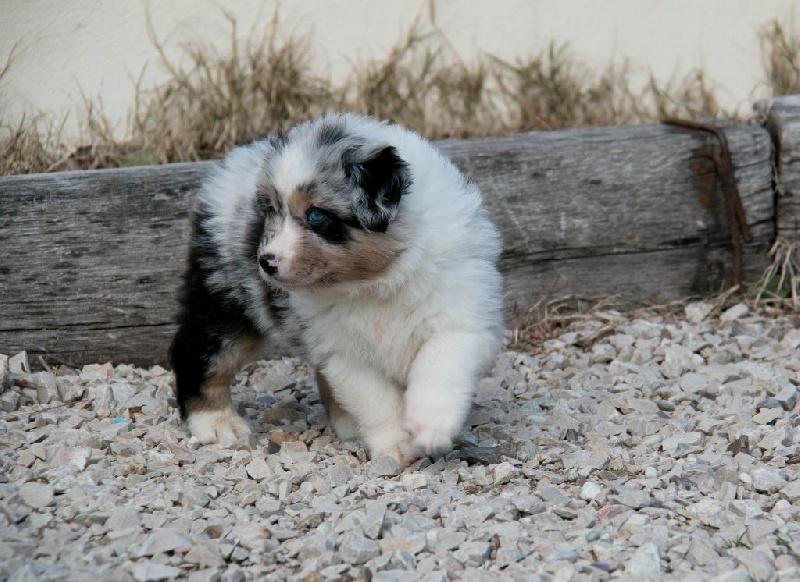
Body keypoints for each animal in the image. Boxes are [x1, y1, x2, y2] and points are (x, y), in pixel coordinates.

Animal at [170, 113, 503, 463]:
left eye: (316, 215)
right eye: (272, 210)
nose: (266, 262)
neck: (377, 281)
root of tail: (239, 153)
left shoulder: (461, 319)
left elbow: (439, 365)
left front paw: (429, 428)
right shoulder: (343, 351)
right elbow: (376, 399)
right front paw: (396, 447)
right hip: (224, 296)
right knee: (200, 353)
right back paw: (217, 423)